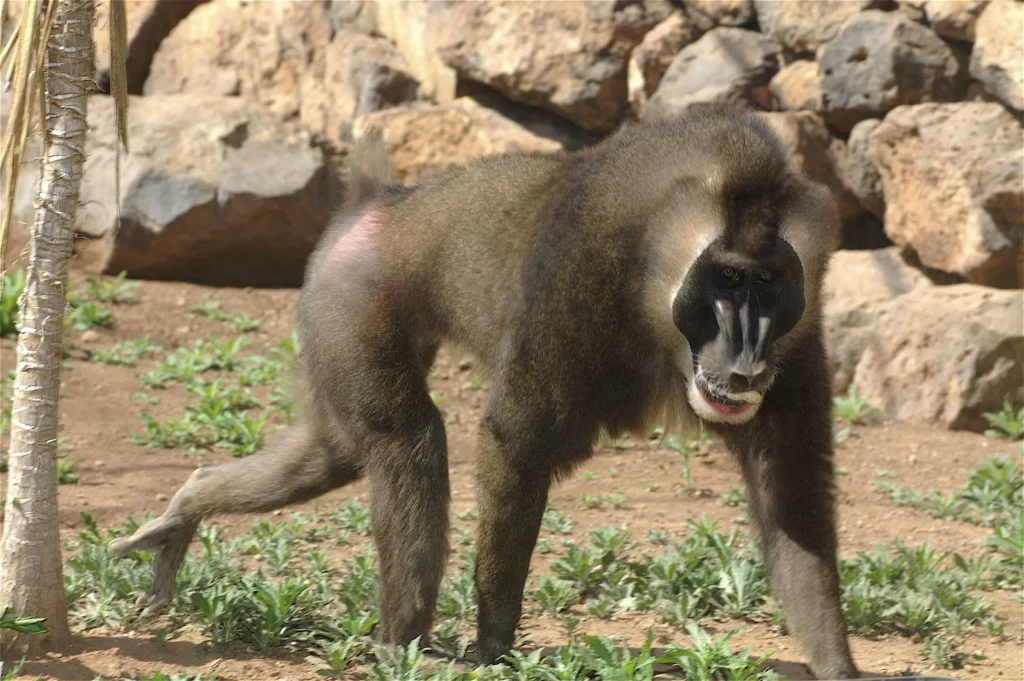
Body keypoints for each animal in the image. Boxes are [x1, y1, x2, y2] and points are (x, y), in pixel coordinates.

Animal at [107, 105, 858, 680]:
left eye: (769, 282)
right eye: (727, 278)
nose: (748, 354)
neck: (657, 250)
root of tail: (383, 199)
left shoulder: (797, 349)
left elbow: (790, 496)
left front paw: (838, 664)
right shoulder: (575, 276)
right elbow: (514, 440)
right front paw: (494, 646)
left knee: (331, 452)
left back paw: (188, 507)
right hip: (353, 301)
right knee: (405, 439)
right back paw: (400, 644)